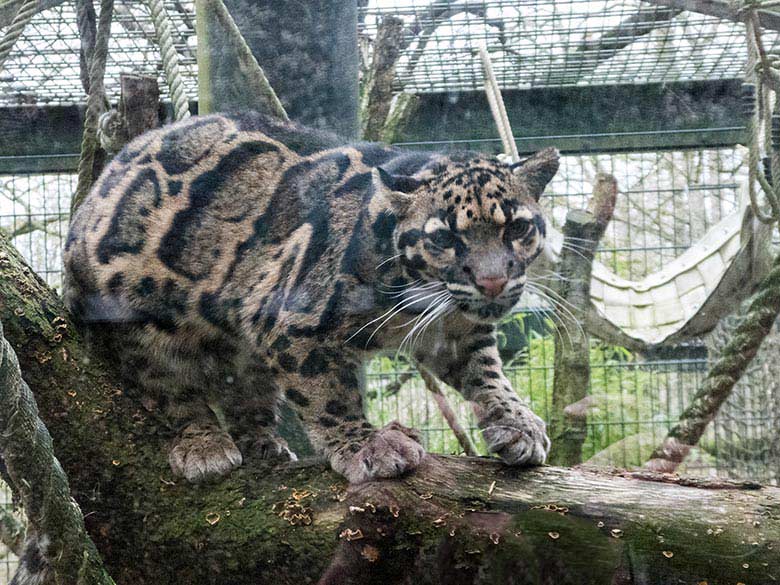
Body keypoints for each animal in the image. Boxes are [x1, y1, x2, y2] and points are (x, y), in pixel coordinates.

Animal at [64, 113, 556, 484]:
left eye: (517, 228)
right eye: (444, 239)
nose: (492, 282)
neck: (422, 293)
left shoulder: (457, 331)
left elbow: (486, 373)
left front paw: (516, 421)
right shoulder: (290, 323)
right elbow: (329, 395)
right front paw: (366, 444)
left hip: (243, 357)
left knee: (248, 390)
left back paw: (262, 442)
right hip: (141, 323)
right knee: (170, 390)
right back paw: (204, 443)